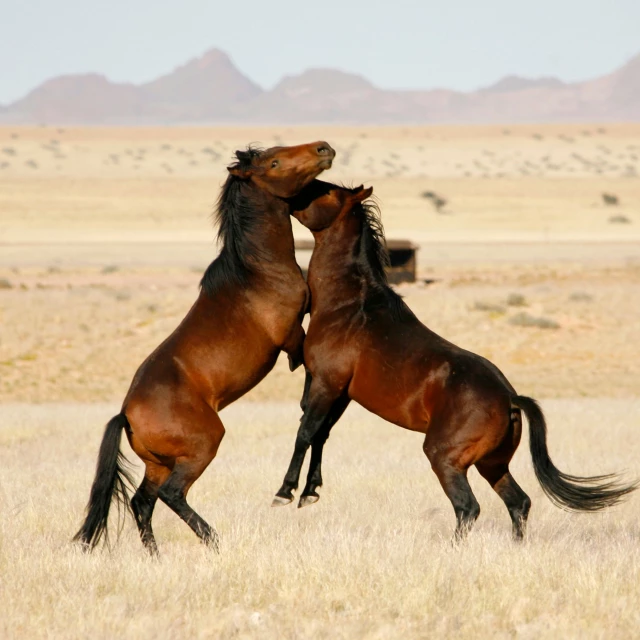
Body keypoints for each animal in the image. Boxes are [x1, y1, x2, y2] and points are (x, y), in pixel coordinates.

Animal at [74, 142, 336, 552]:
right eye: (274, 162)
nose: (323, 148)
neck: (257, 271)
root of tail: (126, 414)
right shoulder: (293, 337)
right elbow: (309, 378)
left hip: (159, 462)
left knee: (143, 501)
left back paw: (156, 556)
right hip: (202, 447)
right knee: (171, 495)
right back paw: (214, 540)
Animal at [272, 180, 636, 540]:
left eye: (327, 191)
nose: (291, 196)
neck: (351, 306)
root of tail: (510, 398)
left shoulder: (326, 383)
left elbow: (305, 432)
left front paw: (286, 492)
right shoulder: (340, 393)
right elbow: (321, 434)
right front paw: (310, 492)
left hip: (445, 458)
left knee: (468, 507)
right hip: (492, 464)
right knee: (518, 502)